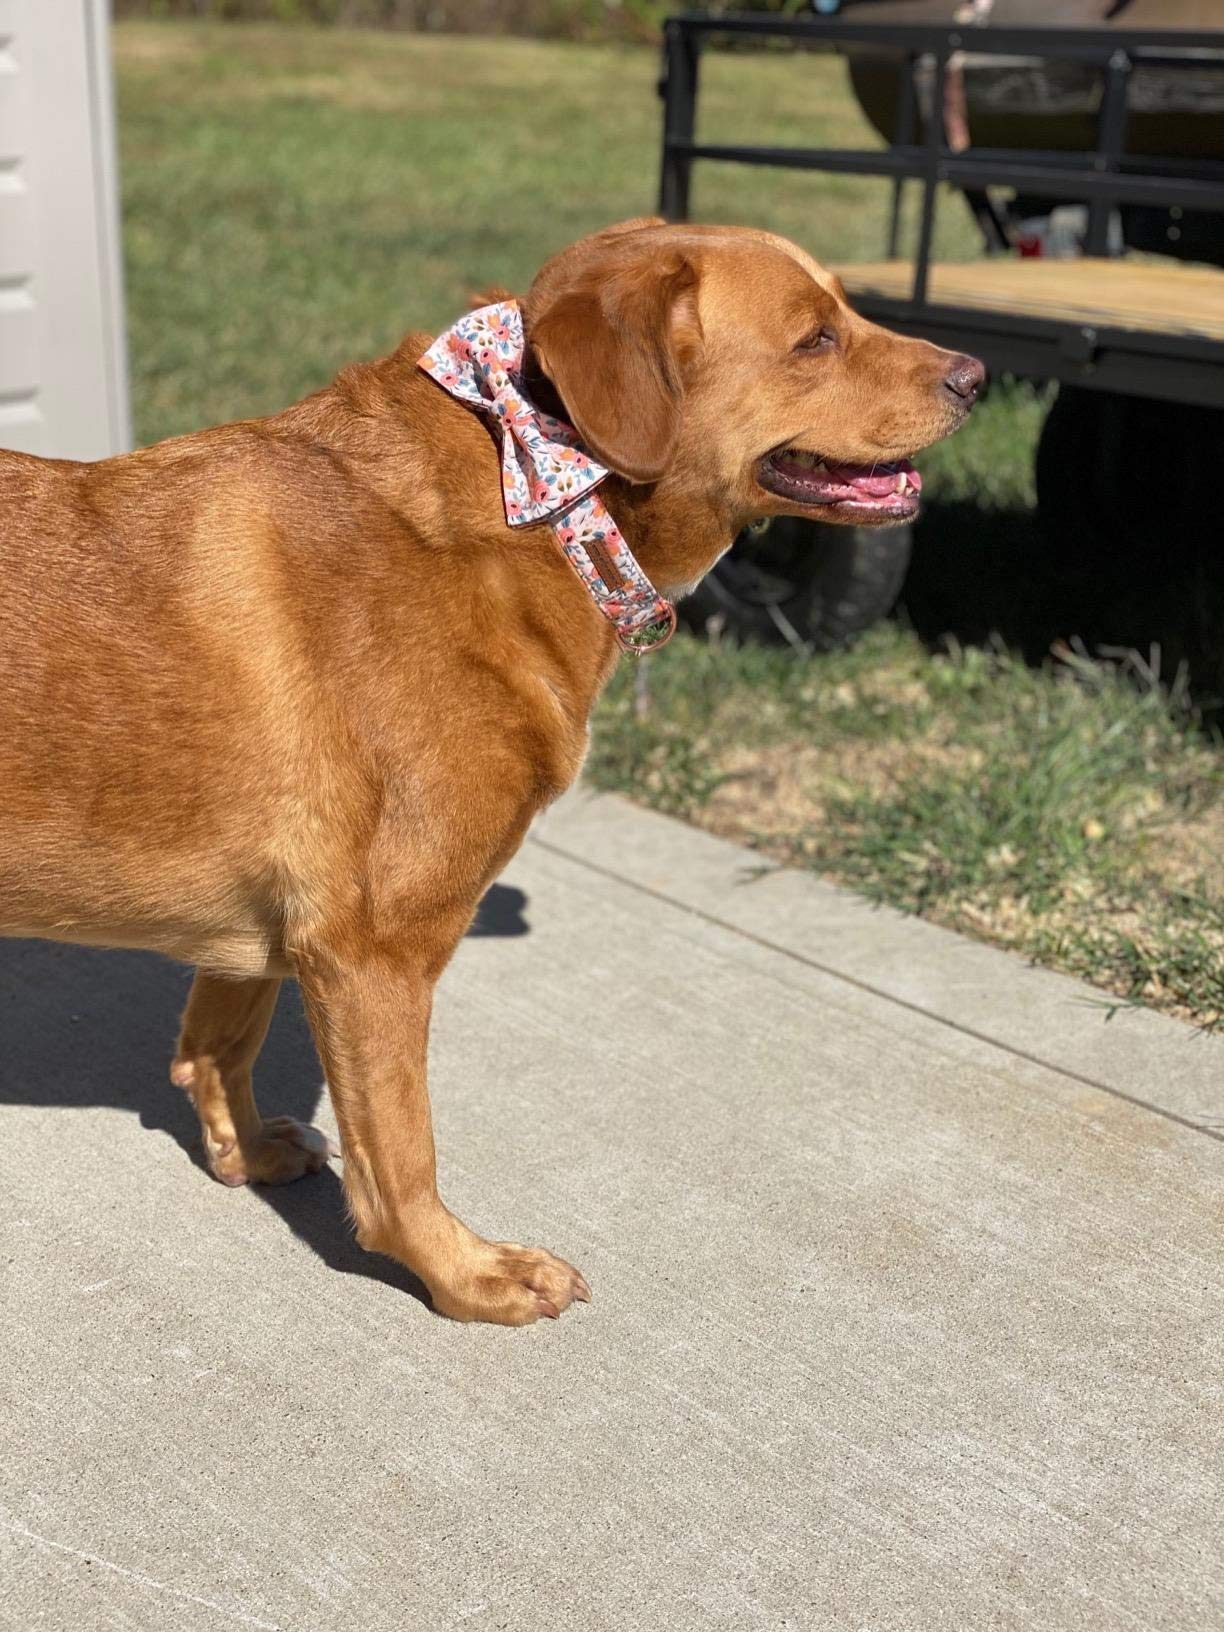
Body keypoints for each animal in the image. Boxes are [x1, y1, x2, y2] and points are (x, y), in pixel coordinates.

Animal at [0, 217, 985, 1318]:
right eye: (815, 338)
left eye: (849, 307)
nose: (980, 376)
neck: (544, 498)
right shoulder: (373, 951)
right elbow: (399, 1159)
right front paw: (463, 1273)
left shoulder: (268, 934)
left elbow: (217, 1046)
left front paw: (242, 1154)